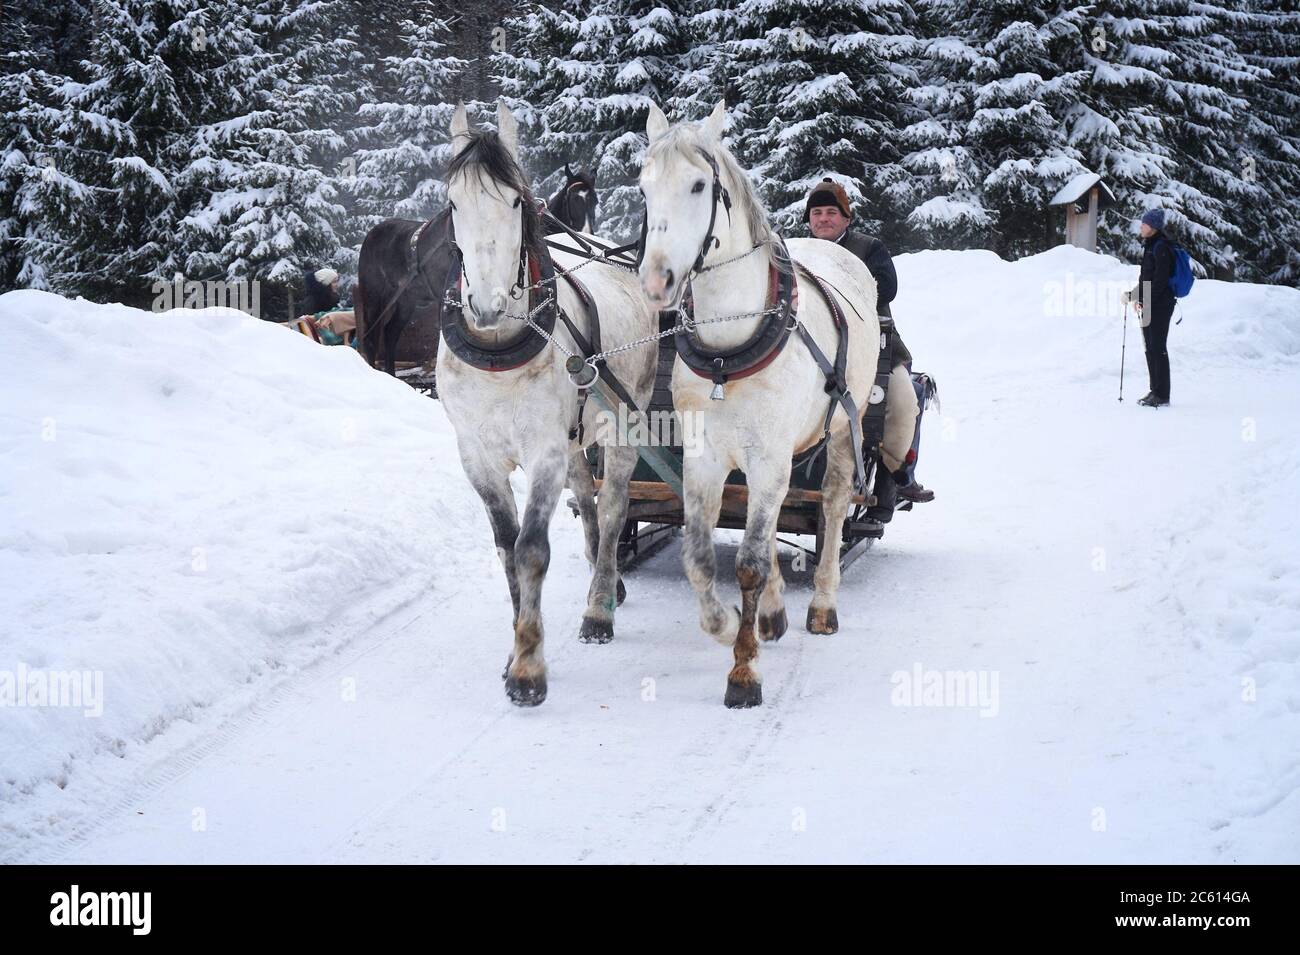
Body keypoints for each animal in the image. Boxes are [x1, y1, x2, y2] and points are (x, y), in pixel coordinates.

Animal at [436, 102, 657, 706]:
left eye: (516, 201)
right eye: (453, 202)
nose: (486, 307)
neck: (496, 349)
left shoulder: (544, 452)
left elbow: (532, 548)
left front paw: (529, 670)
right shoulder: (477, 457)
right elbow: (506, 547)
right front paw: (515, 648)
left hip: (626, 421)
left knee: (613, 507)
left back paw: (600, 607)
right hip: (577, 435)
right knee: (586, 496)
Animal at [637, 100, 919, 708]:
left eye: (699, 185)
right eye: (644, 187)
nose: (656, 281)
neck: (729, 350)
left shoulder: (767, 456)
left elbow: (747, 562)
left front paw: (744, 672)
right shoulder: (705, 458)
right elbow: (701, 556)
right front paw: (726, 624)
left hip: (841, 432)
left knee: (831, 507)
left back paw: (821, 604)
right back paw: (770, 613)